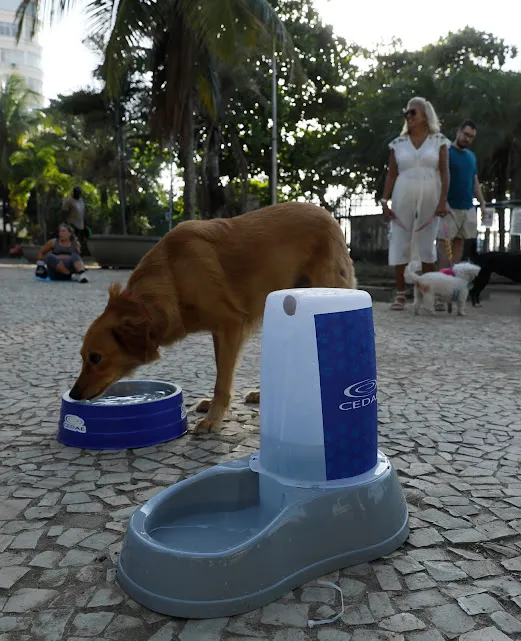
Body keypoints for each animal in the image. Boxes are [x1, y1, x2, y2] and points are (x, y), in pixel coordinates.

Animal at [70, 202, 358, 432]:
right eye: (82, 357)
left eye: (95, 358)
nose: (74, 393)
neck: (172, 275)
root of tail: (328, 215)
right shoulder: (219, 332)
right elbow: (222, 371)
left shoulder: (230, 325)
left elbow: (223, 378)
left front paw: (214, 417)